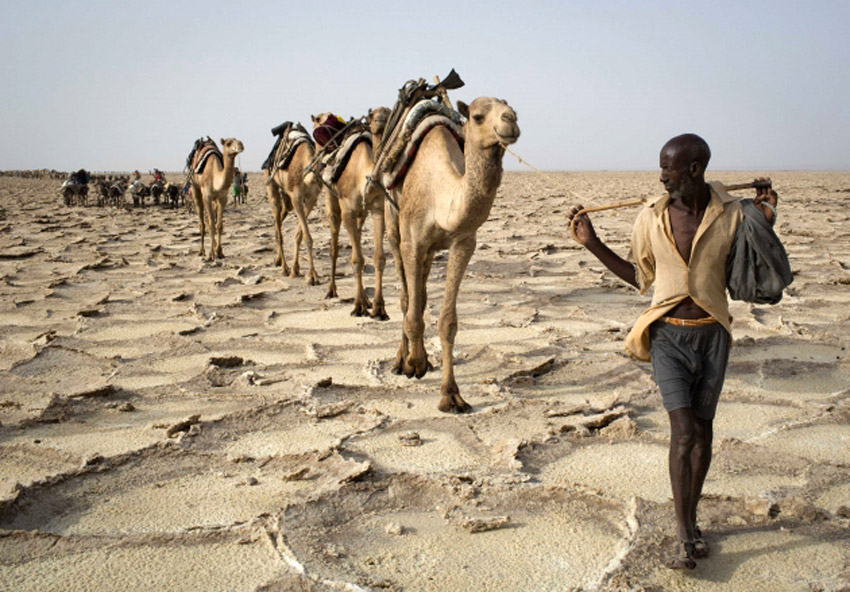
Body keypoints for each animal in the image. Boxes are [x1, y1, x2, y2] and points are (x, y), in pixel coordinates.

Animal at [264, 132, 320, 284]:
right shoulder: (297, 197)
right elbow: (307, 237)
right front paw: (312, 275)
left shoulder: (312, 198)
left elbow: (299, 235)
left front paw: (297, 269)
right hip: (271, 187)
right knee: (279, 229)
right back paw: (284, 268)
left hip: (287, 199)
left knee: (278, 220)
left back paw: (278, 260)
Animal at [322, 107, 392, 320]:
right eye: (372, 115)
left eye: (389, 111)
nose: (381, 119)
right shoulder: (348, 211)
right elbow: (356, 259)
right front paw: (359, 306)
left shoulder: (378, 209)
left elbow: (379, 257)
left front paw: (378, 308)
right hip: (332, 201)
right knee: (334, 245)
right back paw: (331, 291)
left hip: (361, 214)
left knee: (359, 236)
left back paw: (368, 300)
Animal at [384, 97, 516, 412]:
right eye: (478, 116)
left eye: (514, 110)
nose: (511, 121)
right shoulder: (412, 242)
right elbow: (411, 309)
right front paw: (414, 363)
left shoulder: (463, 243)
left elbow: (447, 321)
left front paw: (451, 395)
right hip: (392, 226)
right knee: (407, 298)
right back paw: (402, 361)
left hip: (430, 252)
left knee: (420, 296)